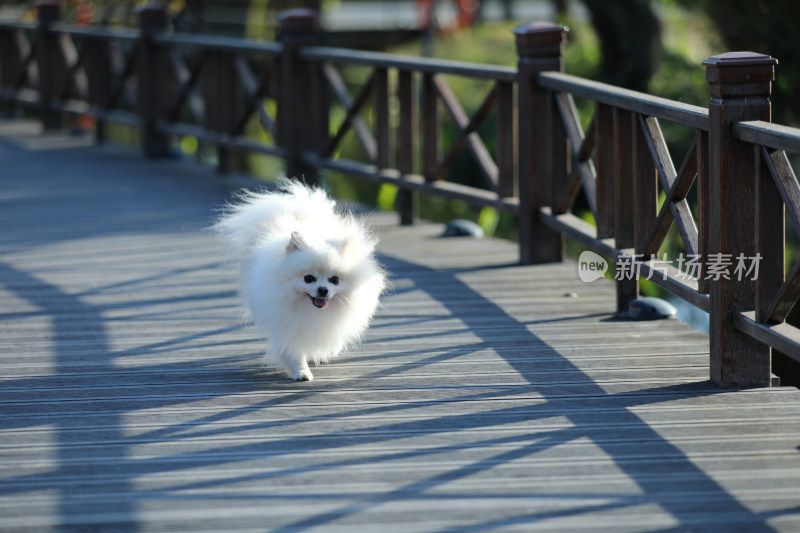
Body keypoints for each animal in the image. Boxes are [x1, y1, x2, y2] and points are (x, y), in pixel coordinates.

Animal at [214, 181, 386, 380]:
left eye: (334, 279)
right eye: (308, 278)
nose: (323, 290)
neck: (310, 311)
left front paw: (324, 353)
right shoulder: (287, 324)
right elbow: (294, 351)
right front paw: (302, 372)